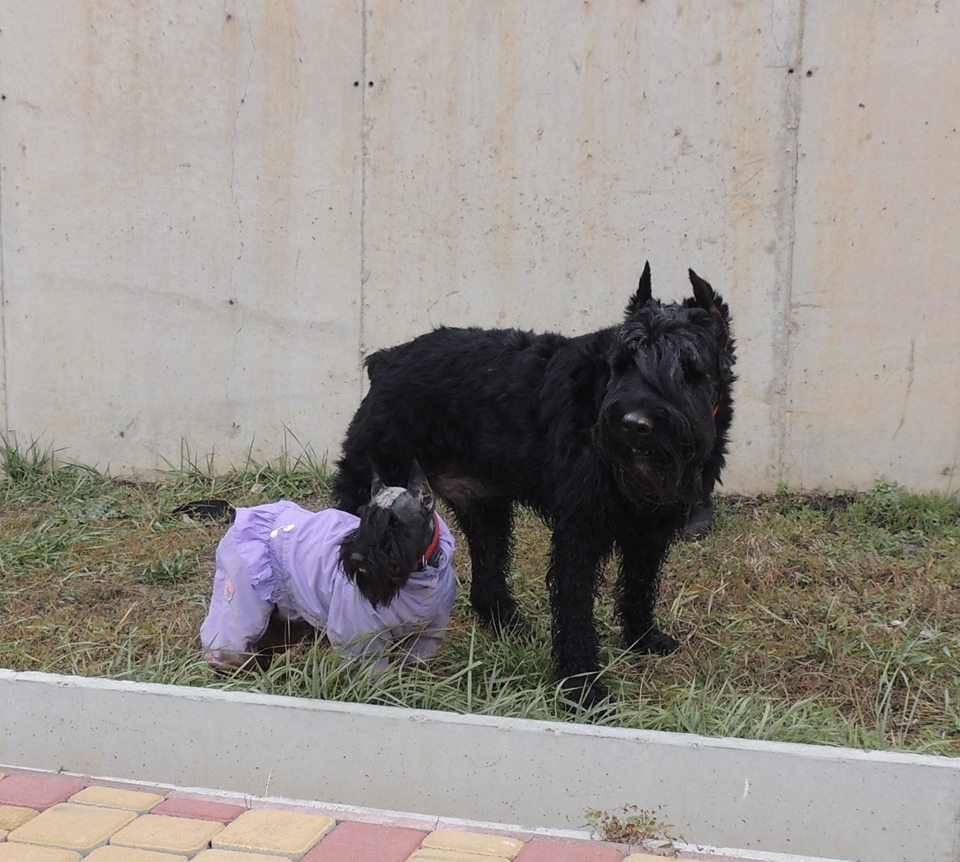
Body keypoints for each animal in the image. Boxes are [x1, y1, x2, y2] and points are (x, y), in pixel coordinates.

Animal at [199, 462, 457, 670]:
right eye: (364, 515)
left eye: (395, 522)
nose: (357, 557)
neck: (419, 577)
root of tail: (239, 513)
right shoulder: (362, 638)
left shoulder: (428, 635)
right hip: (241, 609)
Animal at [333, 264, 734, 703]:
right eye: (625, 361)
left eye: (688, 365)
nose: (634, 424)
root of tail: (385, 360)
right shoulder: (579, 533)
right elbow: (575, 609)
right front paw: (583, 688)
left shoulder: (650, 532)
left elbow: (640, 587)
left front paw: (642, 638)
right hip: (368, 487)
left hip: (486, 508)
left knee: (487, 580)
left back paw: (510, 624)